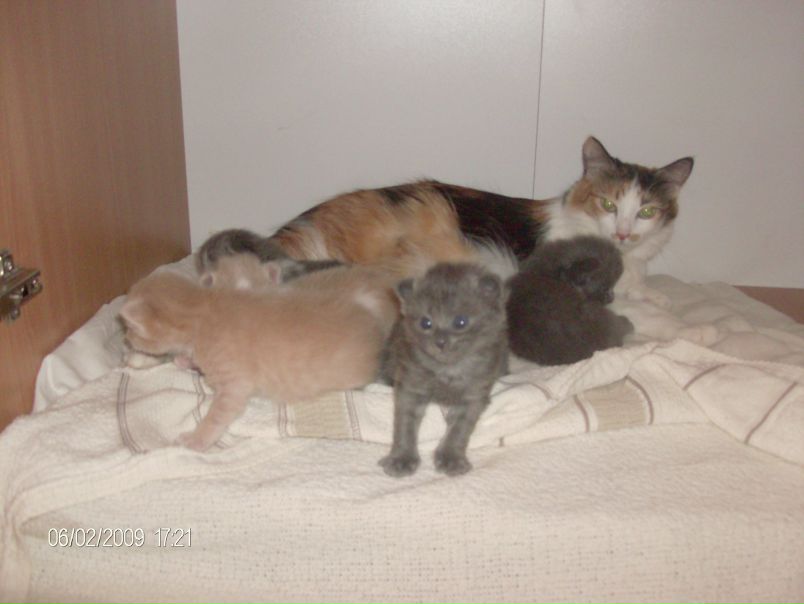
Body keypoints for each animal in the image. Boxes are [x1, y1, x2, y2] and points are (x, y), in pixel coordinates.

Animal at [119, 265, 397, 451]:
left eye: (130, 328)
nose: (127, 338)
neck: (203, 309)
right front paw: (185, 360)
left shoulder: (234, 385)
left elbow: (216, 416)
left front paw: (197, 440)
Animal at [379, 263, 509, 477]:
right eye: (425, 323)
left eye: (460, 322)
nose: (440, 342)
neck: (448, 371)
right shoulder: (410, 385)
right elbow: (404, 425)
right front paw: (402, 458)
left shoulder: (474, 395)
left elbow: (459, 430)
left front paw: (451, 458)